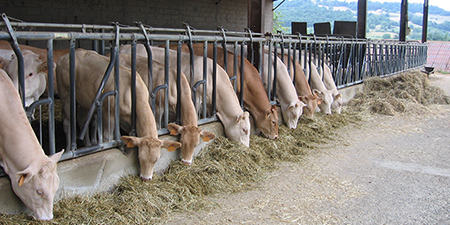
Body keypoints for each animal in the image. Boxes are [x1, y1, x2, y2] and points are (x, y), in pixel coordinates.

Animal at [56, 48, 181, 180]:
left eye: (156, 159)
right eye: (140, 157)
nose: (145, 178)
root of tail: (64, 57)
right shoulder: (109, 113)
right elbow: (108, 136)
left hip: (86, 100)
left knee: (82, 118)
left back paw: (89, 143)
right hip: (66, 95)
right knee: (67, 122)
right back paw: (69, 149)